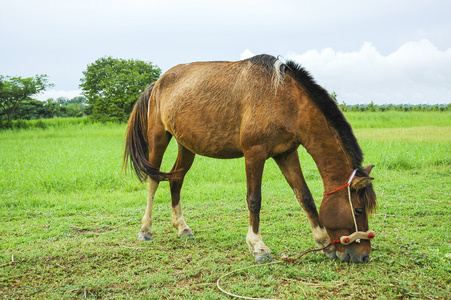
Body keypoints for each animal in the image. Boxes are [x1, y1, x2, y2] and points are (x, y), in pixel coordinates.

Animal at [123, 54, 378, 262]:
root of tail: (157, 83)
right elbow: (254, 200)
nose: (364, 256)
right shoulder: (254, 154)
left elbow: (305, 196)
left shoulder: (286, 154)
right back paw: (145, 230)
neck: (283, 98)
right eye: (358, 210)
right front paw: (258, 246)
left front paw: (323, 242)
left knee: (176, 180)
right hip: (158, 138)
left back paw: (182, 228)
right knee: (153, 180)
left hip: (186, 146)